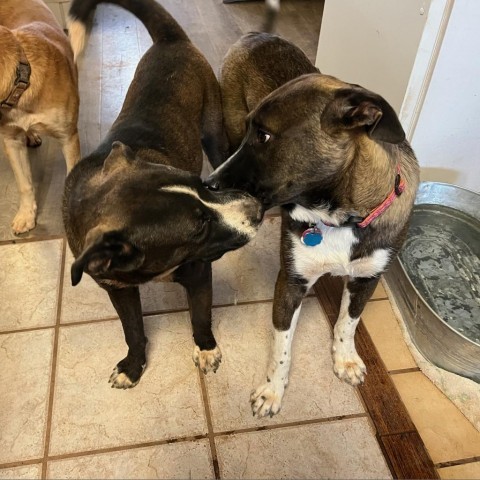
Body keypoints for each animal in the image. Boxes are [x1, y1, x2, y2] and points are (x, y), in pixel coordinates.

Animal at [62, 0, 262, 390]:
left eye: (203, 187)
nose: (257, 210)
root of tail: (171, 40)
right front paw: (133, 365)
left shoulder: (198, 273)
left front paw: (206, 349)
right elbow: (132, 329)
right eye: (198, 227)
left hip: (213, 132)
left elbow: (200, 316)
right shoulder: (117, 288)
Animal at [206, 33, 420, 416]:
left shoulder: (367, 280)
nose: (209, 184)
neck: (341, 217)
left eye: (264, 136)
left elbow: (348, 322)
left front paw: (345, 358)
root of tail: (256, 35)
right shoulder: (291, 282)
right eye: (253, 132)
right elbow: (281, 347)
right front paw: (272, 390)